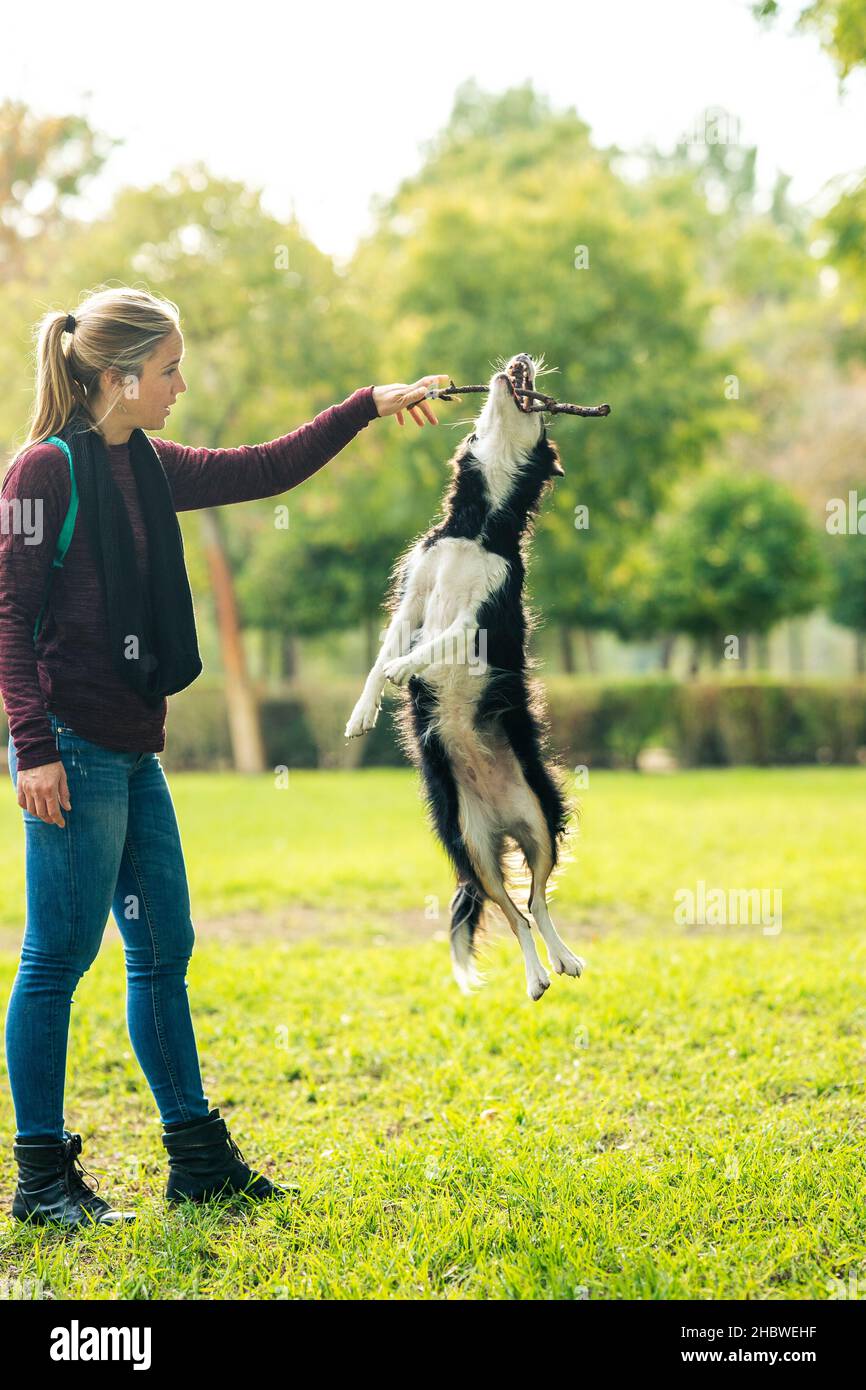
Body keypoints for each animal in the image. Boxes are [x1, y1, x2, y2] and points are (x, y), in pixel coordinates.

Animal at [346, 350, 583, 1000]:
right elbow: (382, 654)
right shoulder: (414, 592)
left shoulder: (486, 615)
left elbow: (437, 642)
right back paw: (536, 973)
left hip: (542, 820)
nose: (522, 358)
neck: (476, 530)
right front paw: (363, 709)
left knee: (538, 901)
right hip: (470, 846)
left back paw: (560, 960)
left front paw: (407, 666)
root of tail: (500, 820)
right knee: (513, 910)